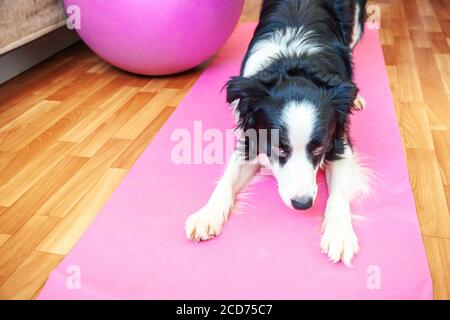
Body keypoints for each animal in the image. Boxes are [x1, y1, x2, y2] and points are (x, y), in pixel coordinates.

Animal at [185, 0, 368, 264]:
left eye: (319, 148)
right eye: (278, 148)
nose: (303, 204)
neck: (294, 63)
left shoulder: (339, 140)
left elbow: (339, 194)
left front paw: (339, 233)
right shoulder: (251, 135)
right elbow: (226, 180)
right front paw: (207, 215)